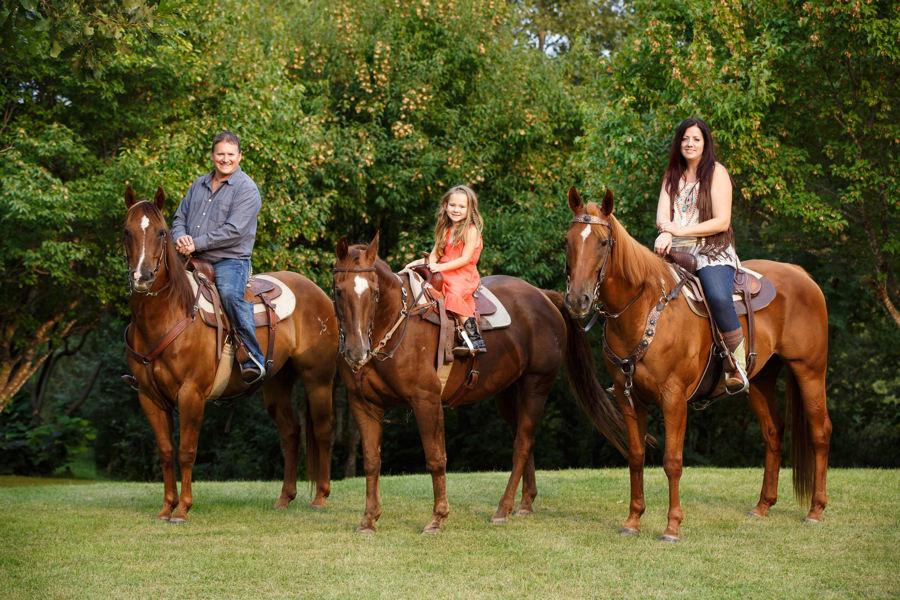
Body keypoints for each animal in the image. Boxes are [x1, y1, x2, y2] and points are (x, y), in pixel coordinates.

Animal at [123, 188, 338, 520]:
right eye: (126, 231)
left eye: (160, 232)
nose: (142, 277)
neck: (169, 316)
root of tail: (318, 293)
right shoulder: (149, 397)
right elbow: (166, 452)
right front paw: (166, 507)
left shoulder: (191, 394)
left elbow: (186, 452)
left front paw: (182, 510)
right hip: (277, 382)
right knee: (291, 432)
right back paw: (284, 498)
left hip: (319, 379)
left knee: (324, 430)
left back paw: (320, 499)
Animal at [330, 233, 624, 536]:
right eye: (338, 291)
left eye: (375, 292)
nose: (356, 352)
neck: (393, 325)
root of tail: (544, 296)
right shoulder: (363, 405)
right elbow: (372, 461)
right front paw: (369, 520)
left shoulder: (426, 401)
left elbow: (436, 459)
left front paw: (438, 518)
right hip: (508, 392)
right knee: (524, 439)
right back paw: (525, 503)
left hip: (536, 386)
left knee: (522, 443)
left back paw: (503, 509)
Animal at [568, 186, 832, 540]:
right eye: (568, 241)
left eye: (602, 242)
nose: (578, 299)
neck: (644, 309)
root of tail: (801, 274)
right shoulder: (629, 398)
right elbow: (636, 456)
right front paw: (633, 521)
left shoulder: (673, 397)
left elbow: (672, 461)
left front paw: (672, 526)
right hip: (760, 380)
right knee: (773, 432)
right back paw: (763, 506)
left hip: (810, 370)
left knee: (820, 431)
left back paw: (816, 510)